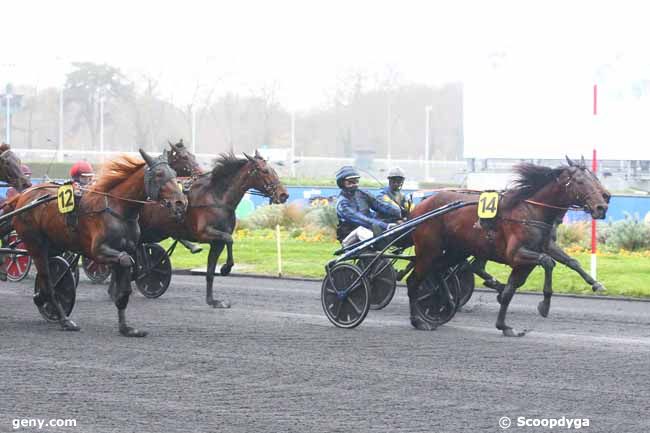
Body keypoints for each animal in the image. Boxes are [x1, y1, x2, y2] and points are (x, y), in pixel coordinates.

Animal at [11, 150, 186, 336]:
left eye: (174, 173)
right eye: (159, 174)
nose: (181, 203)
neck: (119, 210)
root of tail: (24, 195)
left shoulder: (127, 248)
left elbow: (125, 285)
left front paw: (126, 327)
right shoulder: (98, 251)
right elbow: (125, 260)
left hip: (53, 244)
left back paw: (41, 298)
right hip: (35, 244)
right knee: (49, 283)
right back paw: (65, 320)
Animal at [140, 149, 288, 308]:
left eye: (274, 169)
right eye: (265, 171)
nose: (284, 195)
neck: (216, 198)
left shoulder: (217, 242)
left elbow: (211, 271)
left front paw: (212, 300)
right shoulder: (203, 233)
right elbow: (229, 239)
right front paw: (225, 268)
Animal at [408, 157, 612, 336]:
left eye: (595, 179)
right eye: (580, 181)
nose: (602, 206)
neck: (532, 211)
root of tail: (420, 206)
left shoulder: (538, 252)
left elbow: (512, 290)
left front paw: (504, 326)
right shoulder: (516, 254)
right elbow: (548, 262)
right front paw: (544, 306)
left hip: (455, 252)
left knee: (438, 271)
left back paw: (445, 303)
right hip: (429, 251)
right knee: (414, 280)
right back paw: (419, 320)